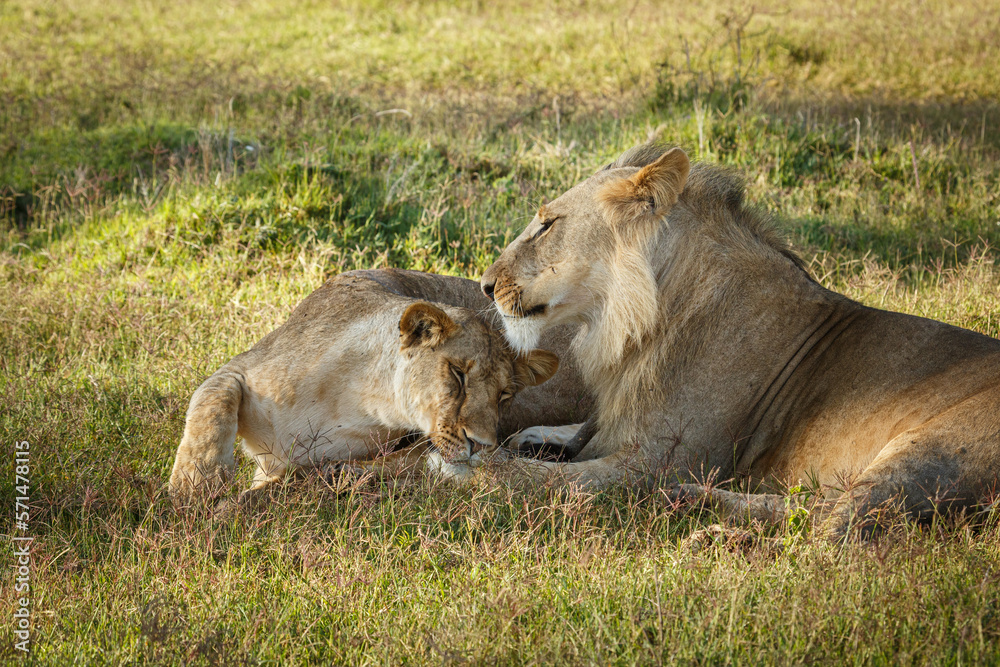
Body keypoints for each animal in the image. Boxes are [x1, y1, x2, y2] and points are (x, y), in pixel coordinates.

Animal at [169, 268, 590, 499]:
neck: (360, 398)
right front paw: (192, 494)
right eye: (457, 373)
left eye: (504, 394)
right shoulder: (242, 367)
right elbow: (210, 408)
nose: (482, 445)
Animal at [480, 143, 1000, 538]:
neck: (634, 326)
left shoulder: (655, 464)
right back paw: (699, 505)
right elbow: (576, 435)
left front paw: (474, 470)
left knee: (836, 537)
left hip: (925, 452)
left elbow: (547, 479)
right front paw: (535, 435)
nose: (485, 285)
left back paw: (716, 534)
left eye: (547, 224)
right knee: (814, 509)